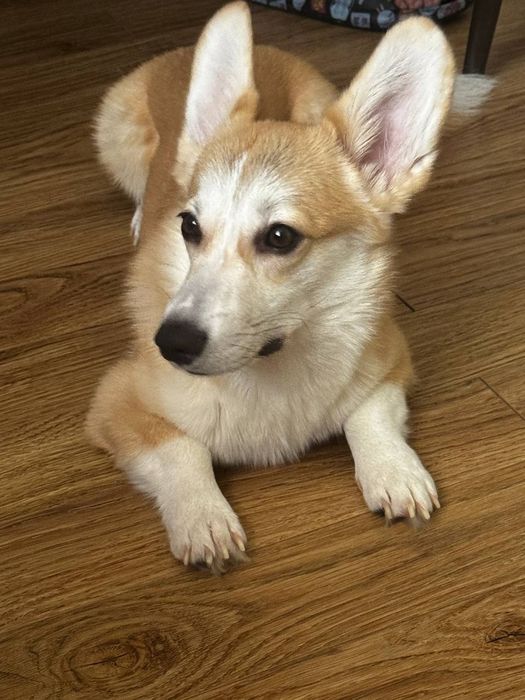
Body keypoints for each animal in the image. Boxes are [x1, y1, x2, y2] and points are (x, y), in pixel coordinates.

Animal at [86, 2, 488, 573]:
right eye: (190, 226)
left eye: (280, 237)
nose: (170, 345)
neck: (275, 362)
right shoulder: (116, 402)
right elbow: (182, 450)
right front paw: (204, 520)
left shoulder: (392, 361)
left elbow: (370, 416)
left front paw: (395, 472)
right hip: (115, 135)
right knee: (139, 182)